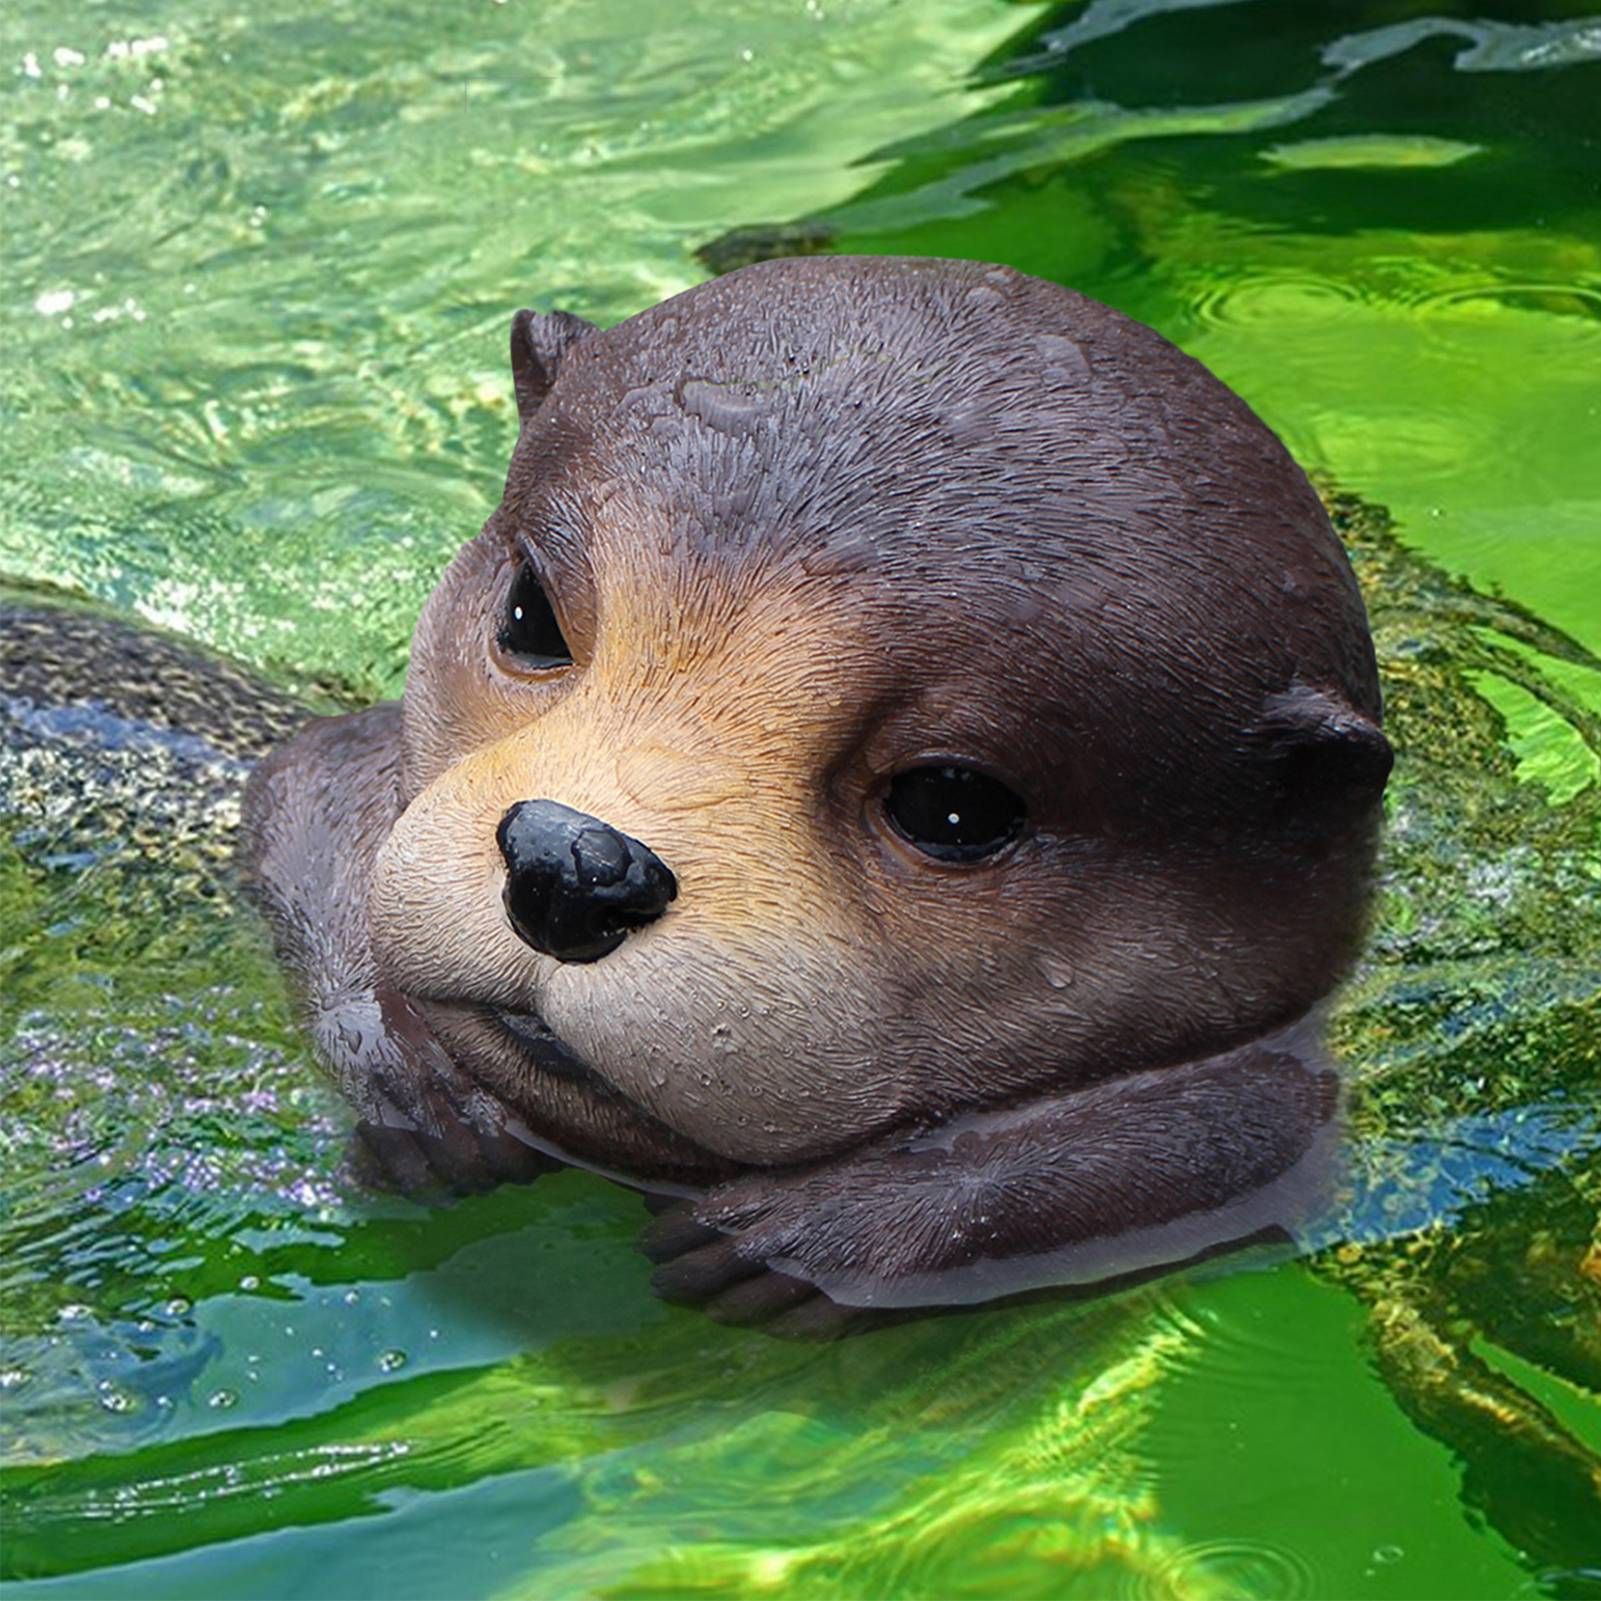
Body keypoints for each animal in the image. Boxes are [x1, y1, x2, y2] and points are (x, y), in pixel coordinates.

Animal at [241, 256, 1392, 1334]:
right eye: (528, 612)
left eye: (951, 806)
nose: (573, 862)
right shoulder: (333, 761)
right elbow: (303, 795)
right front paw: (412, 1062)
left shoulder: (1280, 1102)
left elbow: (1237, 1137)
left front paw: (828, 1230)